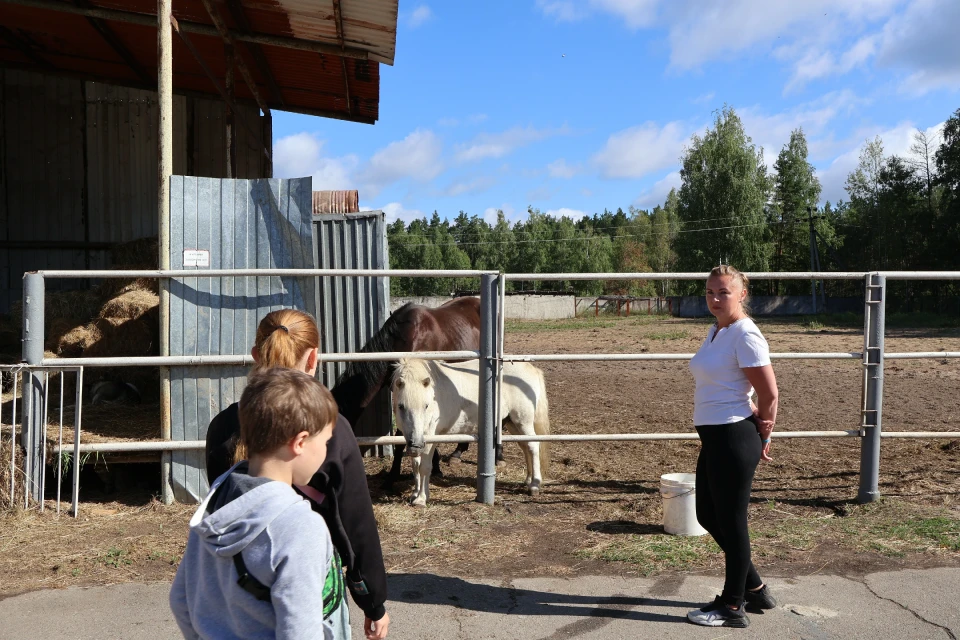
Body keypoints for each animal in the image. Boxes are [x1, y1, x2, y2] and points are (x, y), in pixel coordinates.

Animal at [390, 360, 552, 504]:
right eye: (401, 406)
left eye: (426, 405)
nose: (415, 445)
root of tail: (532, 368)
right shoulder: (414, 438)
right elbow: (415, 465)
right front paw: (415, 494)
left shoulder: (429, 437)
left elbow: (424, 467)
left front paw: (422, 499)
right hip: (512, 423)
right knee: (526, 448)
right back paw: (528, 480)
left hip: (523, 421)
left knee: (533, 446)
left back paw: (535, 485)